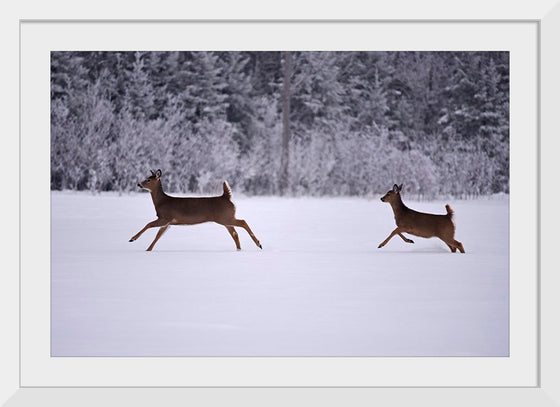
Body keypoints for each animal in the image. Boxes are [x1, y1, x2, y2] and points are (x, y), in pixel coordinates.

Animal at [130, 169, 264, 252]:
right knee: (235, 233)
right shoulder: (168, 222)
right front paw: (148, 250)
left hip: (225, 217)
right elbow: (158, 235)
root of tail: (226, 197)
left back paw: (259, 243)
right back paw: (239, 250)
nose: (138, 184)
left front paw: (132, 238)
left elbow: (149, 224)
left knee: (243, 222)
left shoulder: (165, 217)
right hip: (225, 218)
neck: (161, 202)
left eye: (148, 180)